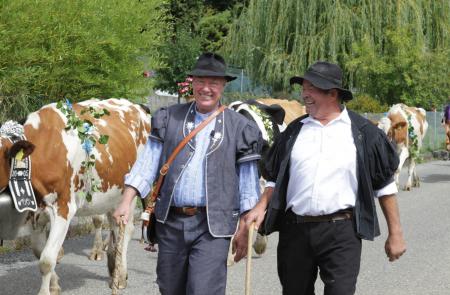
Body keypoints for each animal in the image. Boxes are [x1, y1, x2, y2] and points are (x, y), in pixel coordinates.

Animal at [0, 99, 151, 294]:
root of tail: (137, 105)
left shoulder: (63, 208)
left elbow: (46, 260)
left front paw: (46, 290)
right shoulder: (35, 212)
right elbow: (39, 252)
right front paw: (54, 284)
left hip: (130, 192)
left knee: (126, 230)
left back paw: (120, 276)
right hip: (111, 195)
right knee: (114, 226)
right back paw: (112, 267)